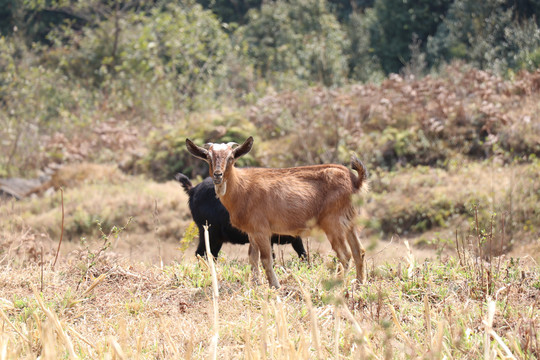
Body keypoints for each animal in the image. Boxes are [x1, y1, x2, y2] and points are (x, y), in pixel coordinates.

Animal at [175, 172, 306, 258]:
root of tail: (193, 189)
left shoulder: (295, 238)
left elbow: (302, 253)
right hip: (208, 232)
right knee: (201, 253)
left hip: (216, 238)